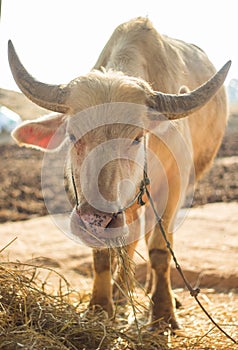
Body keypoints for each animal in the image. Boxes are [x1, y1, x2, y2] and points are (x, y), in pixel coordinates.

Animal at [8, 17, 230, 328]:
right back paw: (121, 292)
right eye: (73, 135)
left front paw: (163, 313)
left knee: (156, 238)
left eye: (137, 137)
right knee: (131, 237)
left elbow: (159, 248)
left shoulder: (173, 186)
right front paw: (101, 306)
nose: (96, 219)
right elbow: (103, 252)